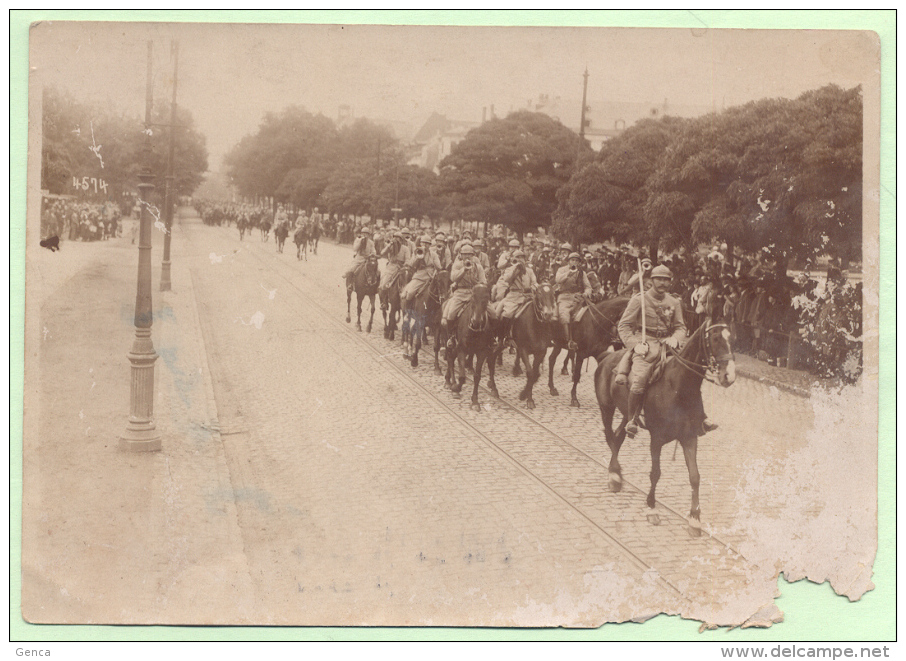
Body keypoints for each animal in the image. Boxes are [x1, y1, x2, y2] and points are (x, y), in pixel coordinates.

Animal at [442, 282, 498, 410]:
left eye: (486, 299)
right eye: (472, 298)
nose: (476, 322)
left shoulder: (482, 352)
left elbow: (477, 377)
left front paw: (475, 401)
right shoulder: (462, 350)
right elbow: (462, 377)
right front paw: (456, 388)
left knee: (451, 359)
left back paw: (449, 380)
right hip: (450, 341)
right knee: (450, 359)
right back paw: (450, 383)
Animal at [592, 320, 736, 536]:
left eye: (732, 338)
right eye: (716, 338)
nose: (730, 376)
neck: (679, 388)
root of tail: (607, 356)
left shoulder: (689, 438)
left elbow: (695, 476)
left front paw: (694, 519)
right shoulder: (657, 439)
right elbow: (656, 473)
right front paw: (651, 508)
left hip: (627, 414)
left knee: (618, 436)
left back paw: (616, 473)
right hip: (606, 408)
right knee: (610, 435)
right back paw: (615, 476)